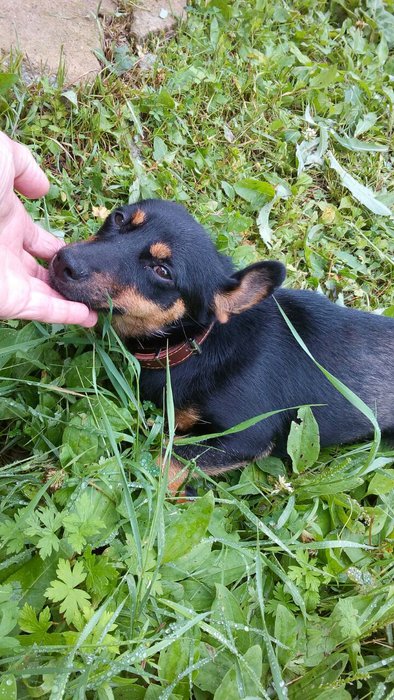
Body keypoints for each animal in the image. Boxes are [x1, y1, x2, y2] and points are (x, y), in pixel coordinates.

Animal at [49, 198, 394, 492]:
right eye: (118, 218)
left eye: (162, 271)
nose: (63, 261)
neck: (200, 342)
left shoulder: (245, 437)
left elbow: (167, 459)